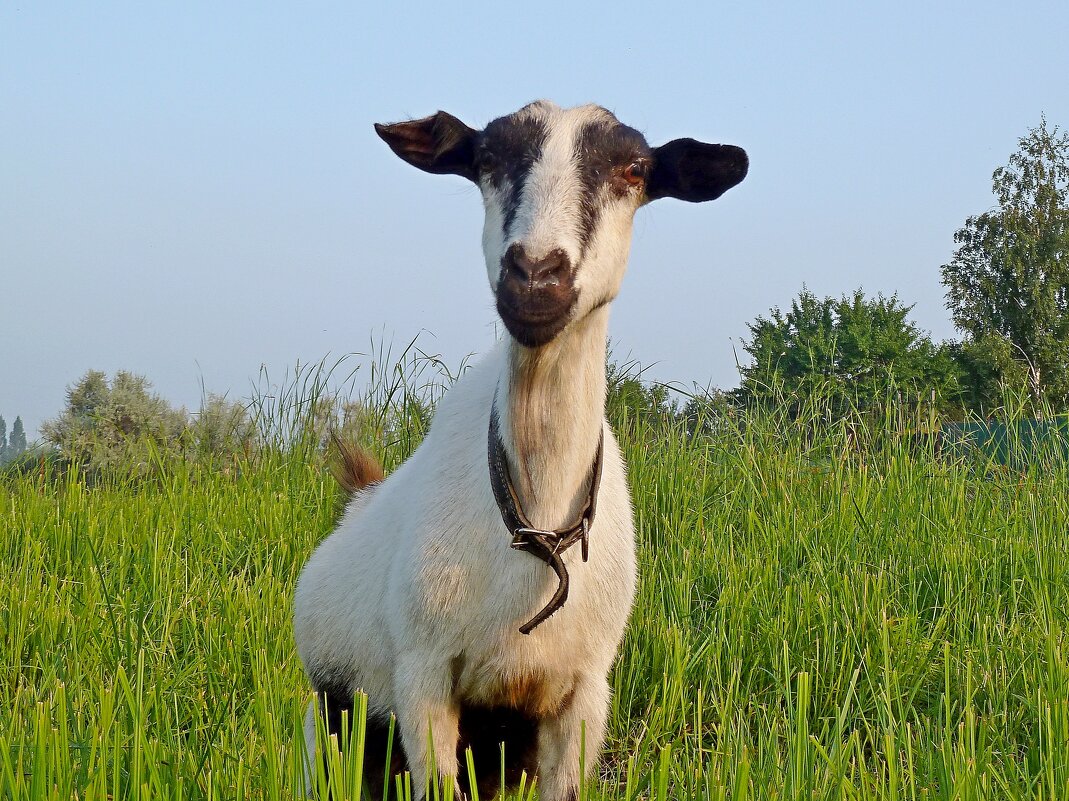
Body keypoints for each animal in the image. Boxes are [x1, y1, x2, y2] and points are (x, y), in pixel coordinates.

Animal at [290, 99, 744, 799]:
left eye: (634, 170)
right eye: (487, 160)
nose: (534, 276)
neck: (535, 522)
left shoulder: (579, 698)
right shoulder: (423, 677)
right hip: (337, 715)